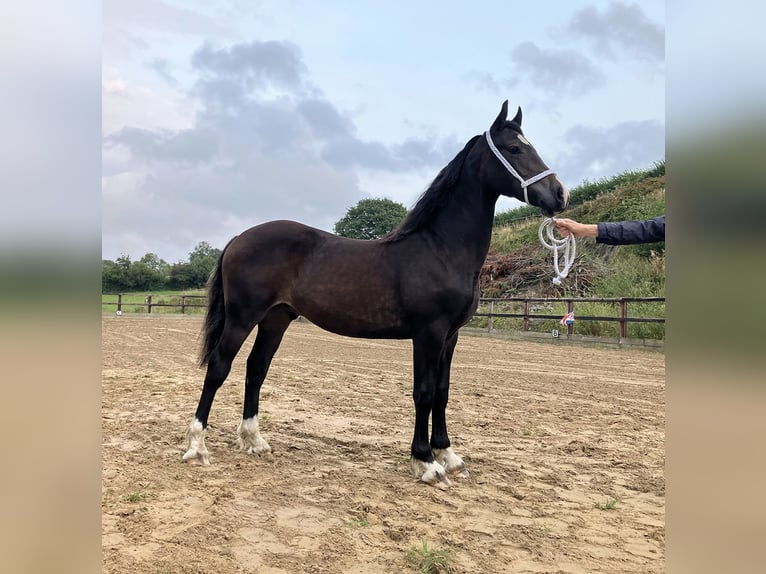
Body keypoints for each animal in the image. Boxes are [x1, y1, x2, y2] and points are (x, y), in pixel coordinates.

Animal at [184, 101, 568, 488]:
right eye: (514, 149)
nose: (559, 194)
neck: (440, 249)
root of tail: (239, 238)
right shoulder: (428, 334)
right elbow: (424, 392)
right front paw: (426, 462)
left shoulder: (451, 336)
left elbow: (443, 391)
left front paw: (449, 456)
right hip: (242, 317)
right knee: (219, 367)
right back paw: (197, 446)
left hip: (276, 319)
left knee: (256, 369)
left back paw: (254, 440)